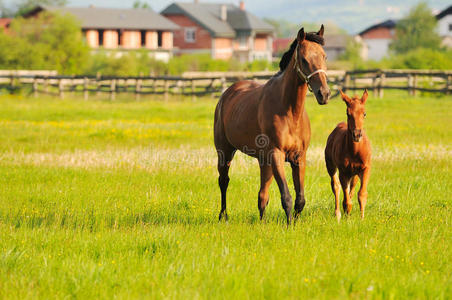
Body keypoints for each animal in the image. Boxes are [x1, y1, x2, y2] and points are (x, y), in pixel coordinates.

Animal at [324, 90, 370, 219]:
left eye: (364, 114)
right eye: (348, 113)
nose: (357, 135)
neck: (355, 151)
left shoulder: (365, 169)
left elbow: (362, 194)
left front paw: (362, 218)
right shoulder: (343, 171)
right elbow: (346, 201)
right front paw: (347, 215)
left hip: (354, 174)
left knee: (352, 187)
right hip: (331, 166)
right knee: (336, 186)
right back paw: (338, 214)